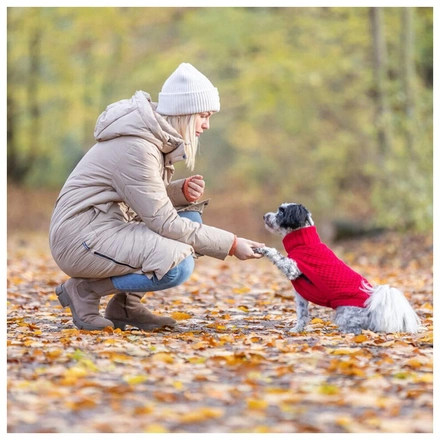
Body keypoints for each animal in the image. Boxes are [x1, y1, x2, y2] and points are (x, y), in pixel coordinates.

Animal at [253, 203, 422, 334]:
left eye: (281, 211)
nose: (264, 216)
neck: (304, 242)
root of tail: (374, 308)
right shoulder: (301, 297)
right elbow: (302, 315)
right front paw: (297, 330)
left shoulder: (293, 268)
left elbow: (276, 253)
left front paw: (262, 249)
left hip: (344, 314)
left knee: (357, 329)